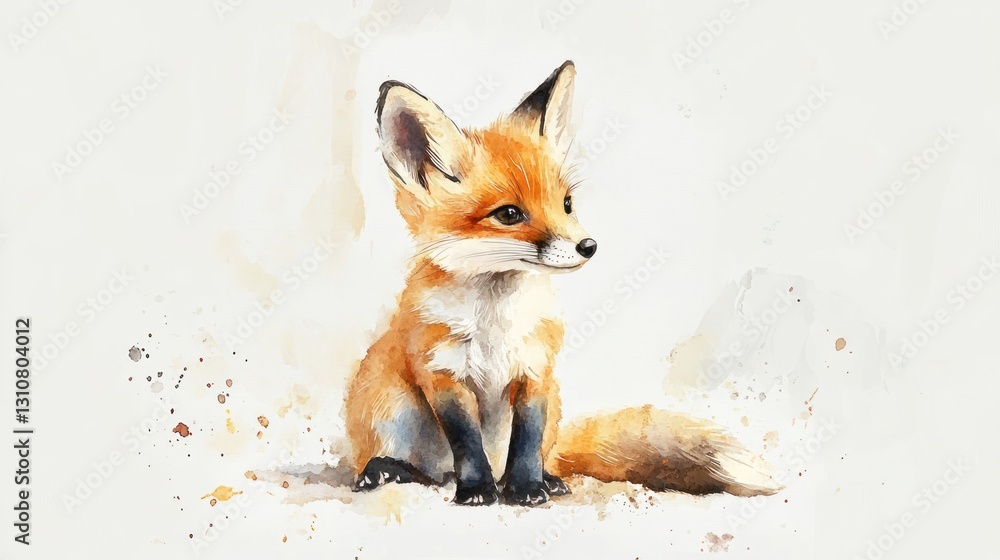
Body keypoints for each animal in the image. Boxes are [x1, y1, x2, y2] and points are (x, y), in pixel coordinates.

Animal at [345, 61, 781, 506]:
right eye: (508, 214)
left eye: (567, 204)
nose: (588, 246)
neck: (495, 322)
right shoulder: (443, 373)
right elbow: (467, 441)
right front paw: (478, 491)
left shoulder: (536, 370)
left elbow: (527, 440)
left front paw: (526, 489)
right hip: (389, 406)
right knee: (419, 468)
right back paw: (388, 470)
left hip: (552, 405)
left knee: (538, 454)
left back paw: (547, 479)